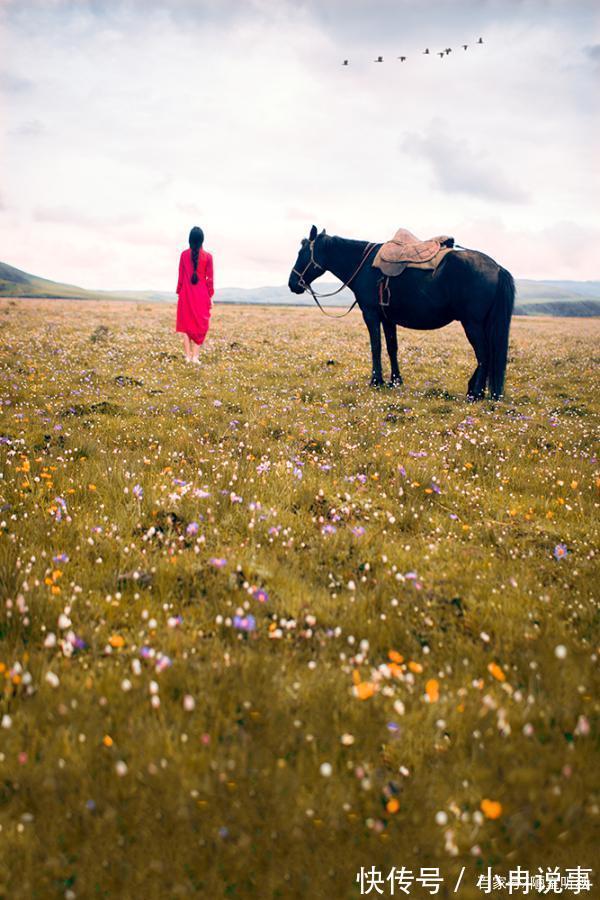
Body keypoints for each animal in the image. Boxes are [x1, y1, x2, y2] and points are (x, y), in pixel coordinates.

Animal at [288, 227, 512, 400]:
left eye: (302, 253)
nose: (292, 283)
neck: (363, 264)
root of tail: (497, 268)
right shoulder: (388, 318)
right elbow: (391, 347)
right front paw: (395, 381)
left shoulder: (370, 314)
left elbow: (376, 347)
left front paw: (376, 381)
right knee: (487, 355)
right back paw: (475, 390)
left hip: (472, 323)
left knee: (484, 354)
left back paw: (474, 394)